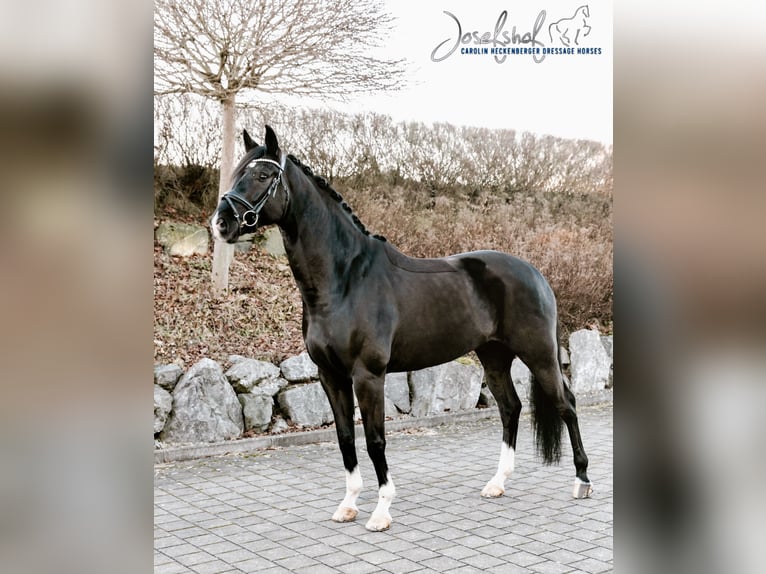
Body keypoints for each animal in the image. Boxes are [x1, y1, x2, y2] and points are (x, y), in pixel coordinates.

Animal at [210, 128, 592, 532]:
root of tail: (535, 273)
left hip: (539, 354)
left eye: (263, 175)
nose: (221, 223)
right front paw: (348, 504)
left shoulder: (368, 375)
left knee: (566, 404)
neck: (345, 280)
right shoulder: (330, 375)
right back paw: (497, 483)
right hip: (493, 355)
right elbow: (345, 437)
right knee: (510, 408)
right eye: (236, 173)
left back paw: (582, 480)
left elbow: (375, 439)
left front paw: (381, 511)